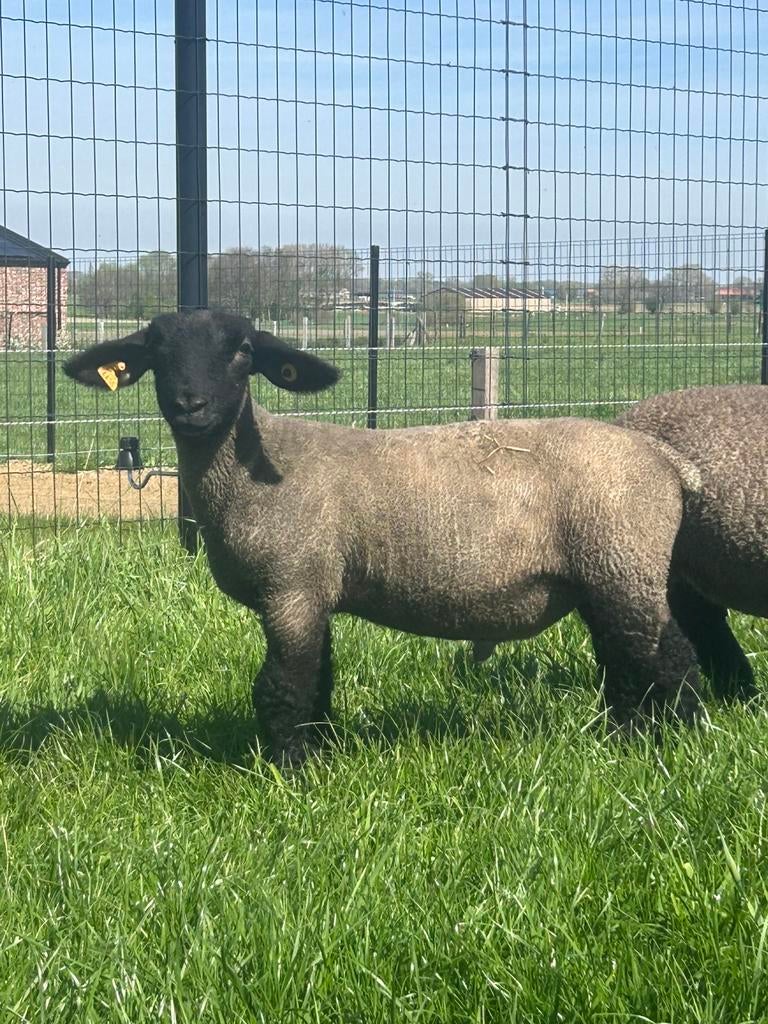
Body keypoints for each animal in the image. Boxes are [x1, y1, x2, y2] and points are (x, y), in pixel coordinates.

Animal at [64, 310, 702, 765]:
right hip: (602, 573)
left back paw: (684, 742)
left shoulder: (291, 588)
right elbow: (318, 682)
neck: (256, 463)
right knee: (625, 660)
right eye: (154, 351)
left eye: (243, 350)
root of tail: (666, 460)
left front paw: (287, 773)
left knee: (671, 657)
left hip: (624, 561)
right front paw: (319, 753)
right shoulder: (313, 588)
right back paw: (624, 738)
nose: (189, 405)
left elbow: (282, 687)